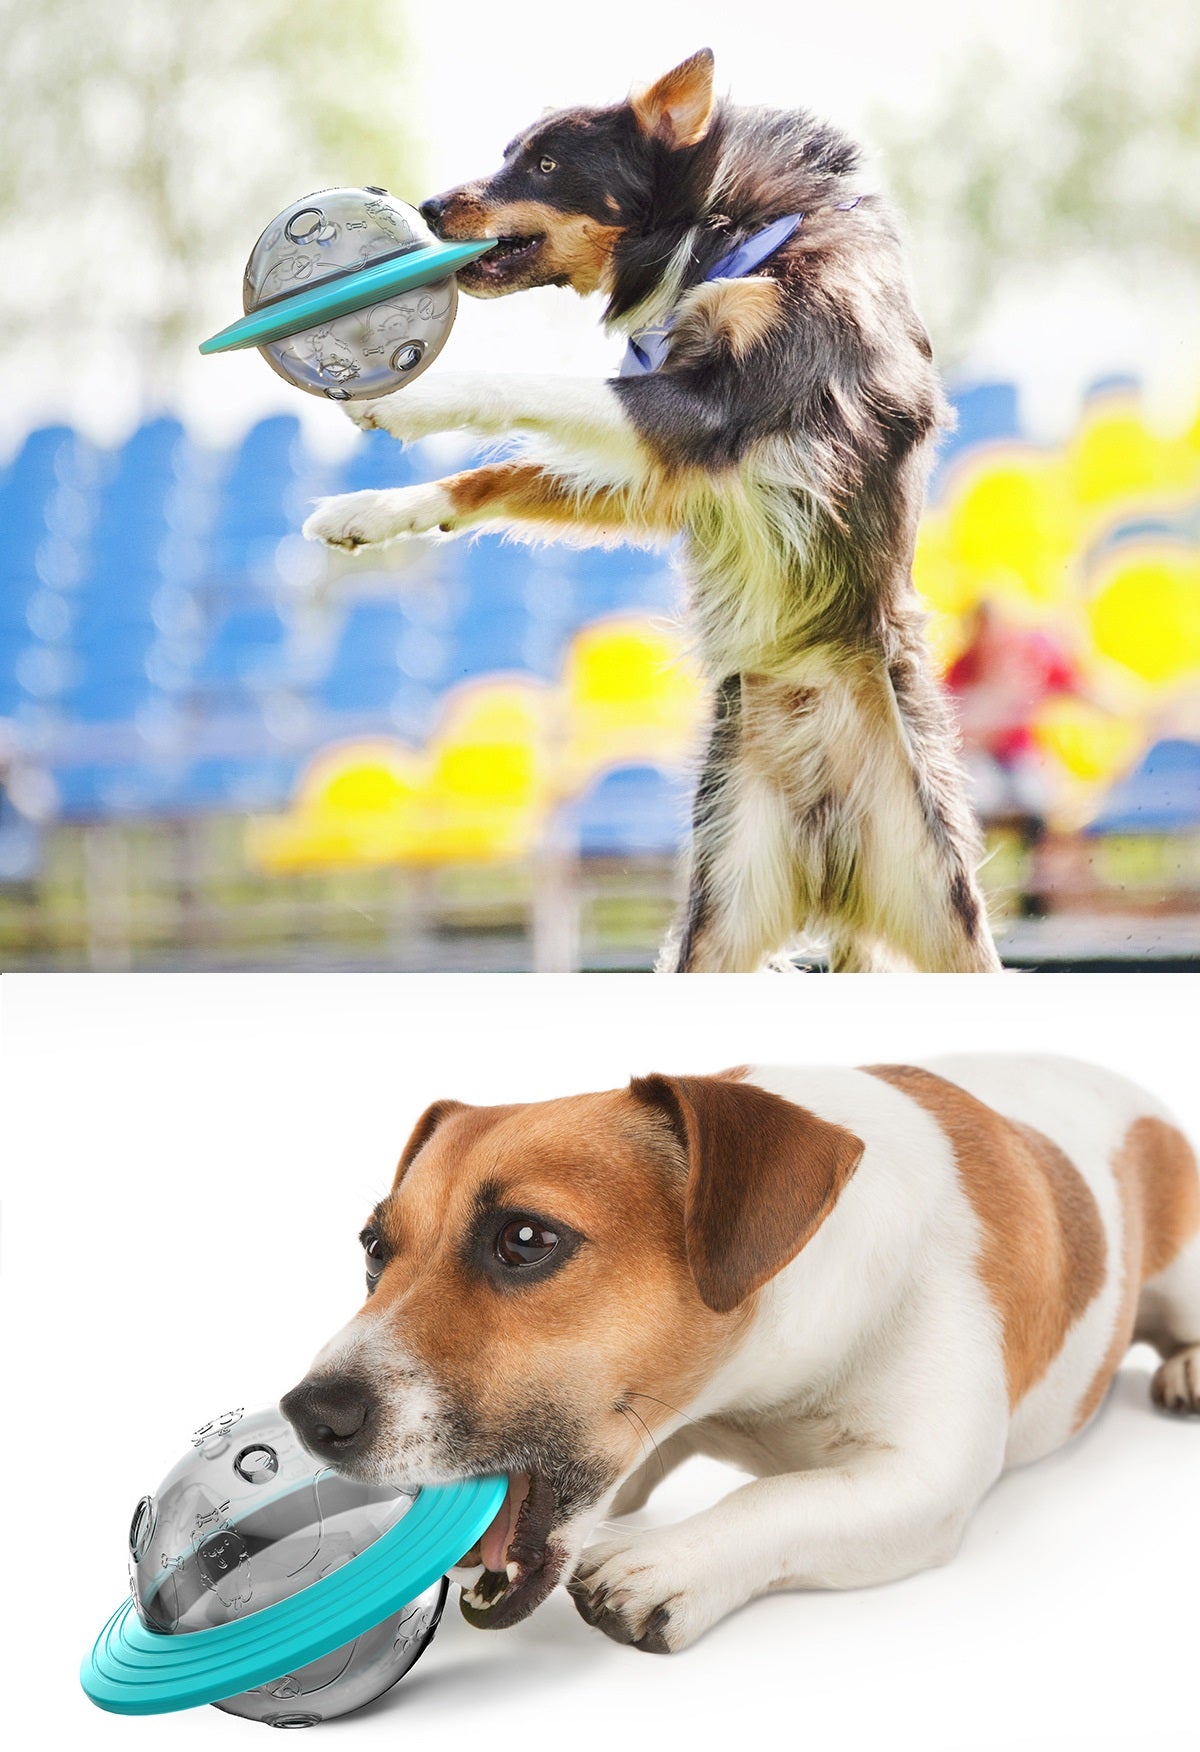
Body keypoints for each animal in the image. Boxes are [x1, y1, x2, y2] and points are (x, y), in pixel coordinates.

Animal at [283, 1058, 1198, 1646]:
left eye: (526, 1239)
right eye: (373, 1248)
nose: (308, 1416)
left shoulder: (924, 1478)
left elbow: (783, 1498)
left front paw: (665, 1563)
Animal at [301, 44, 1002, 974]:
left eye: (547, 164)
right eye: (511, 152)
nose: (428, 206)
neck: (721, 230)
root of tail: (833, 865)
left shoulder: (718, 412)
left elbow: (532, 386)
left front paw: (412, 398)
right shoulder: (675, 476)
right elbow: (509, 469)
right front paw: (372, 510)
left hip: (944, 911)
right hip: (720, 912)